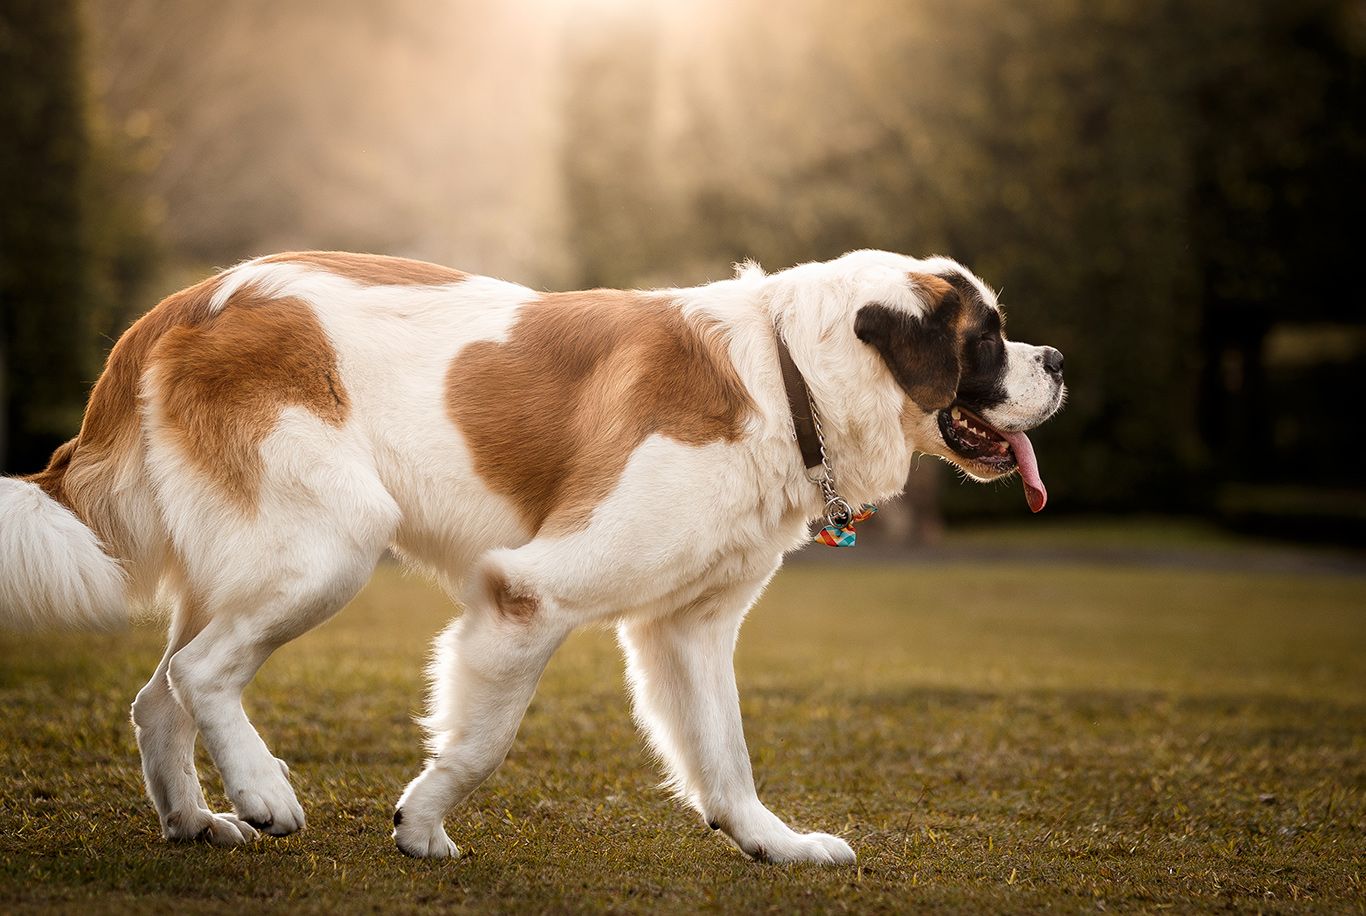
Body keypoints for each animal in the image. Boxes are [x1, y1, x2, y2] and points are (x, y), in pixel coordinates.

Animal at [0, 251, 1065, 868]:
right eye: (987, 339)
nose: (1057, 361)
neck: (784, 372)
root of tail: (190, 302)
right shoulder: (528, 597)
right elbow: (481, 742)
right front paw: (423, 826)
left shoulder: (687, 628)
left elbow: (723, 753)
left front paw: (773, 843)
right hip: (328, 546)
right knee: (202, 671)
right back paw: (262, 794)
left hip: (248, 561)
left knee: (160, 691)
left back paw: (193, 823)